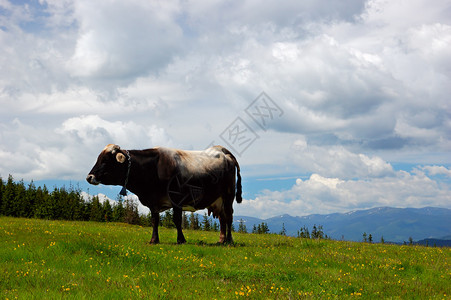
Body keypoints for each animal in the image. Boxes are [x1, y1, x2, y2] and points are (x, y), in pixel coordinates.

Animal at [88, 144, 244, 245]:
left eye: (105, 161)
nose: (89, 177)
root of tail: (223, 152)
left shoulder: (176, 199)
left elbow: (177, 220)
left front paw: (181, 240)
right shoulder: (153, 203)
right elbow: (155, 220)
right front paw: (154, 240)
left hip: (228, 196)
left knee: (229, 218)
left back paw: (229, 241)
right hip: (218, 201)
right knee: (222, 219)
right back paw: (221, 240)